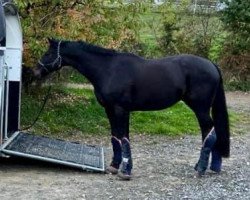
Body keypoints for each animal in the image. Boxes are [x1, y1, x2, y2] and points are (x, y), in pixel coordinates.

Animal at [33, 38, 230, 180]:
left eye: (48, 53)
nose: (34, 72)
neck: (108, 69)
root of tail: (211, 65)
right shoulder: (109, 110)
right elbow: (115, 138)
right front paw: (114, 166)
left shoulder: (121, 110)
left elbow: (124, 138)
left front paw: (125, 171)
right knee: (212, 133)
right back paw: (210, 167)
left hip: (200, 108)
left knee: (209, 132)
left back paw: (201, 169)